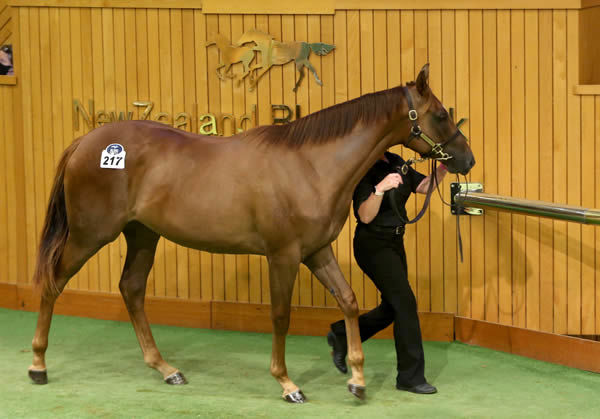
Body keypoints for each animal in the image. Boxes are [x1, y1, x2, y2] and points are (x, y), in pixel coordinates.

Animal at [28, 65, 476, 404]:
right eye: (439, 114)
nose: (466, 160)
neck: (310, 165)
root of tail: (86, 142)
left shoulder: (316, 251)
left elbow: (348, 301)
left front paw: (357, 379)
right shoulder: (283, 255)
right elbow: (280, 316)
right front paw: (288, 384)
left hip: (142, 234)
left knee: (132, 289)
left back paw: (166, 369)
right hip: (90, 234)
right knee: (53, 282)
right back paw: (38, 366)